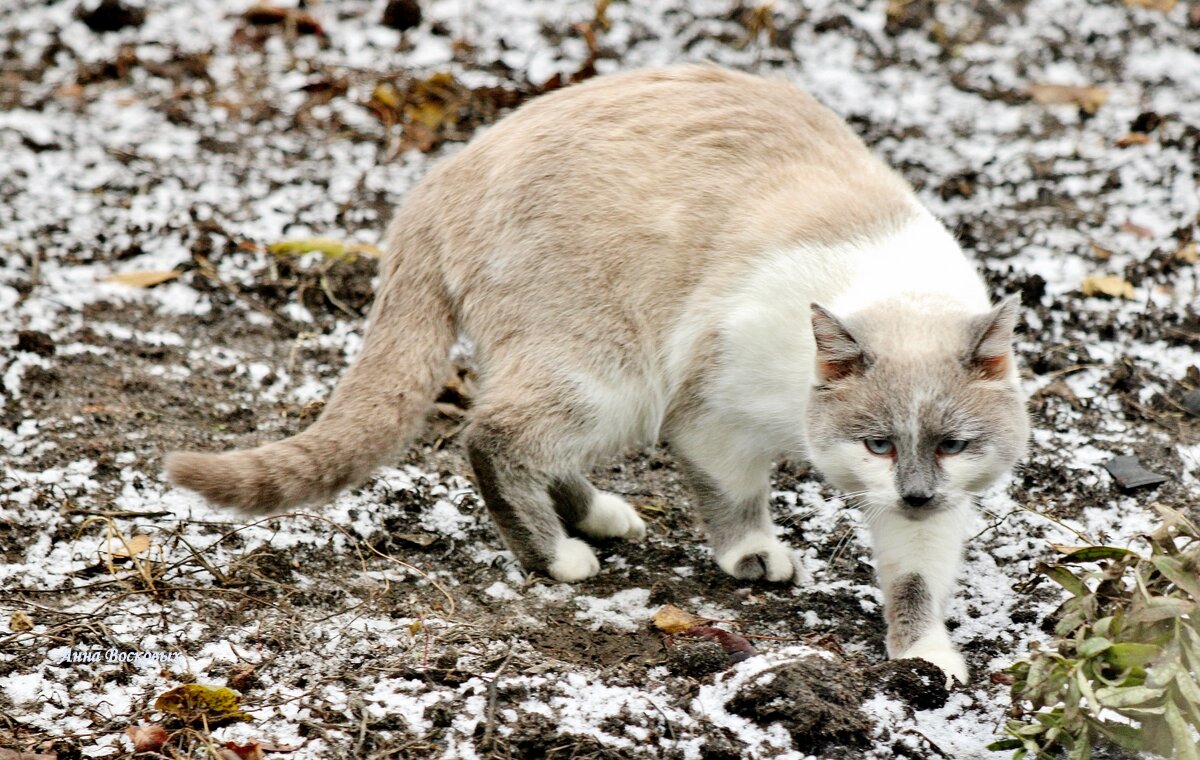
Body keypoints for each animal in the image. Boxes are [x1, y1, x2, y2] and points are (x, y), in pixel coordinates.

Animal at [169, 63, 1032, 681]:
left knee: (532, 442)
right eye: (879, 444)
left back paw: (601, 517)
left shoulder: (933, 505)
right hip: (618, 381)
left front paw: (924, 661)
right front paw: (753, 559)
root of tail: (444, 174)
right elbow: (736, 504)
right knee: (492, 436)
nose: (913, 493)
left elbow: (915, 581)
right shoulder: (710, 420)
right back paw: (559, 557)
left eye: (951, 446)